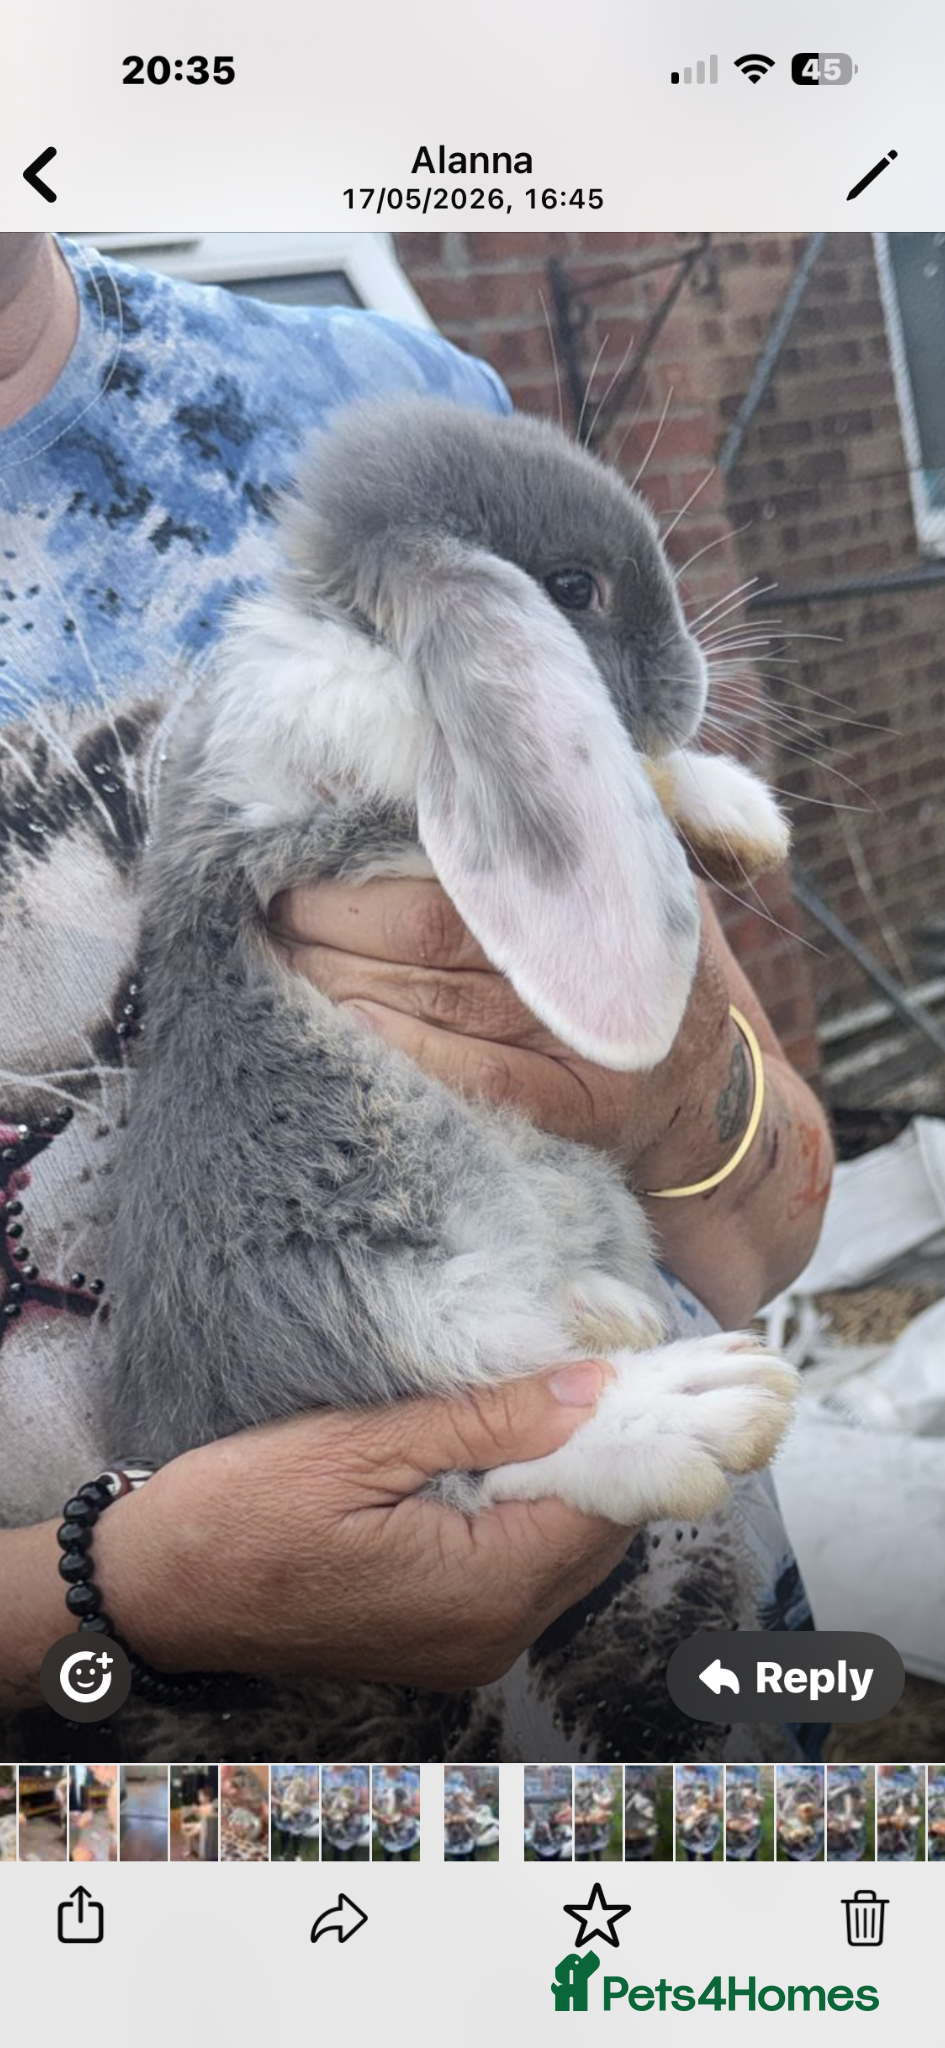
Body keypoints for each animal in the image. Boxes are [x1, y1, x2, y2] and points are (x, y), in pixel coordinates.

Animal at [104, 394, 797, 1526]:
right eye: (572, 589)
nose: (688, 689)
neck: (364, 638)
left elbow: (641, 778)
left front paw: (738, 812)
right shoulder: (357, 807)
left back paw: (610, 1309)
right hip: (390, 1293)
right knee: (493, 1435)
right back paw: (700, 1401)